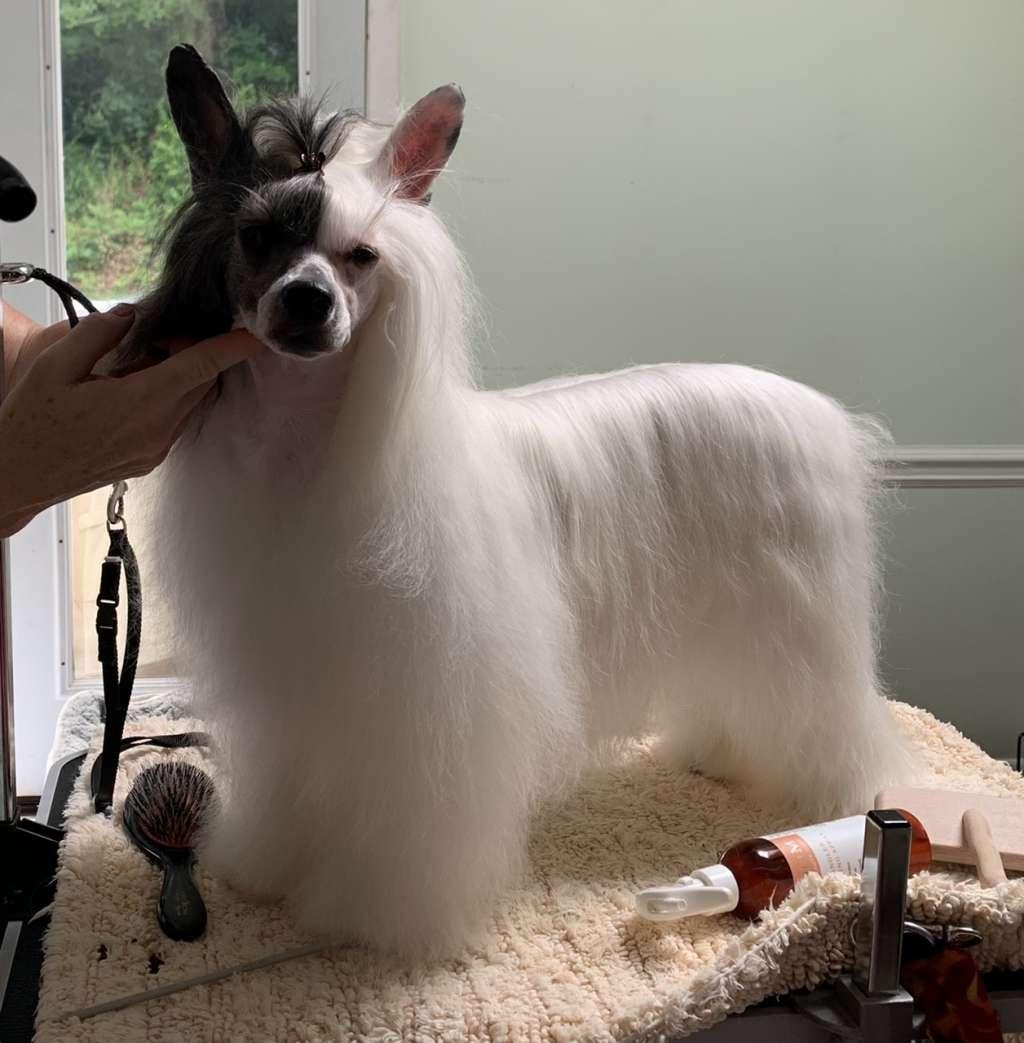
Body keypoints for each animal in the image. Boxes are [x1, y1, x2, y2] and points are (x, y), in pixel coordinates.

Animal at [125, 45, 910, 957]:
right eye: (258, 238)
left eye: (363, 255)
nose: (308, 300)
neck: (309, 453)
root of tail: (821, 413)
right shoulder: (291, 689)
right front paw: (268, 868)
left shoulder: (425, 709)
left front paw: (373, 916)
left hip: (797, 622)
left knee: (831, 716)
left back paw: (839, 800)